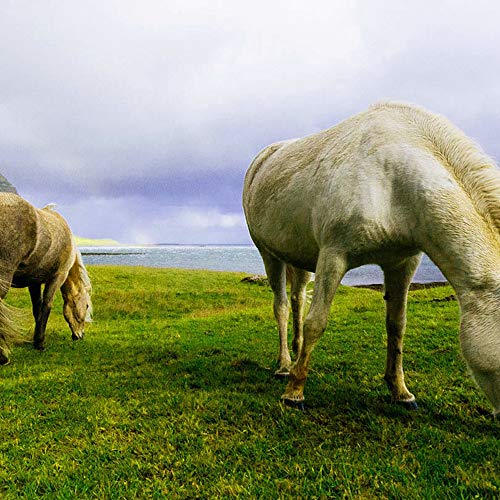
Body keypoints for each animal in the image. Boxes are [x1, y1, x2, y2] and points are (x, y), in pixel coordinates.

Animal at [0, 192, 92, 364]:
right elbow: (46, 306)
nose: (80, 335)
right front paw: (40, 343)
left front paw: (36, 339)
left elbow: (37, 308)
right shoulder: (58, 277)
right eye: (87, 305)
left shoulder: (33, 282)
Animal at [243, 101, 500, 414]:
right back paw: (284, 366)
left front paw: (400, 391)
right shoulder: (333, 256)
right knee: (280, 306)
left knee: (297, 298)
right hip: (268, 253)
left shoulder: (402, 263)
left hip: (299, 256)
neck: (392, 181)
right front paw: (294, 392)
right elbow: (317, 322)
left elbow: (397, 325)